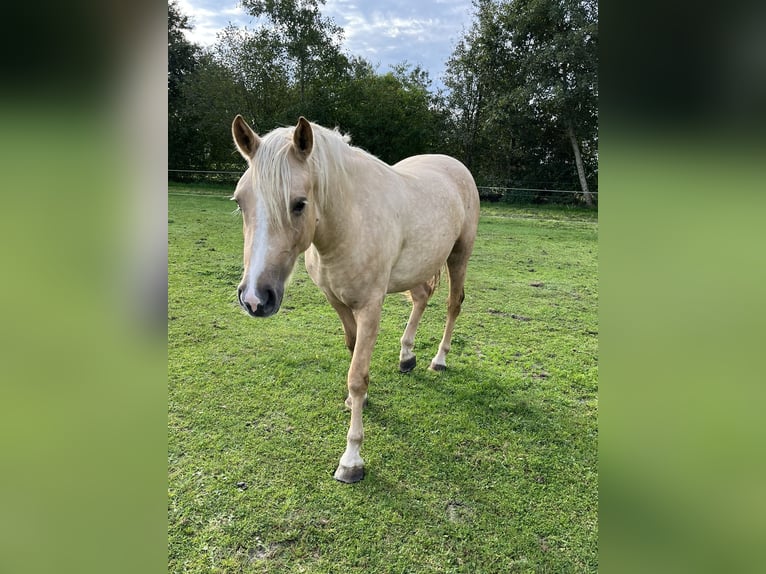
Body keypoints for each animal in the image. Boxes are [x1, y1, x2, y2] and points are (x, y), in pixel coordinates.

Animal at [230, 115, 479, 483]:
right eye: (240, 201)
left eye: (299, 203)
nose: (254, 298)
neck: (349, 222)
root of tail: (454, 165)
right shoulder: (338, 302)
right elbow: (352, 351)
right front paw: (354, 403)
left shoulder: (370, 308)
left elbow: (357, 376)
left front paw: (352, 459)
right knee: (421, 298)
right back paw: (407, 356)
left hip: (459, 255)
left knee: (453, 305)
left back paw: (439, 360)